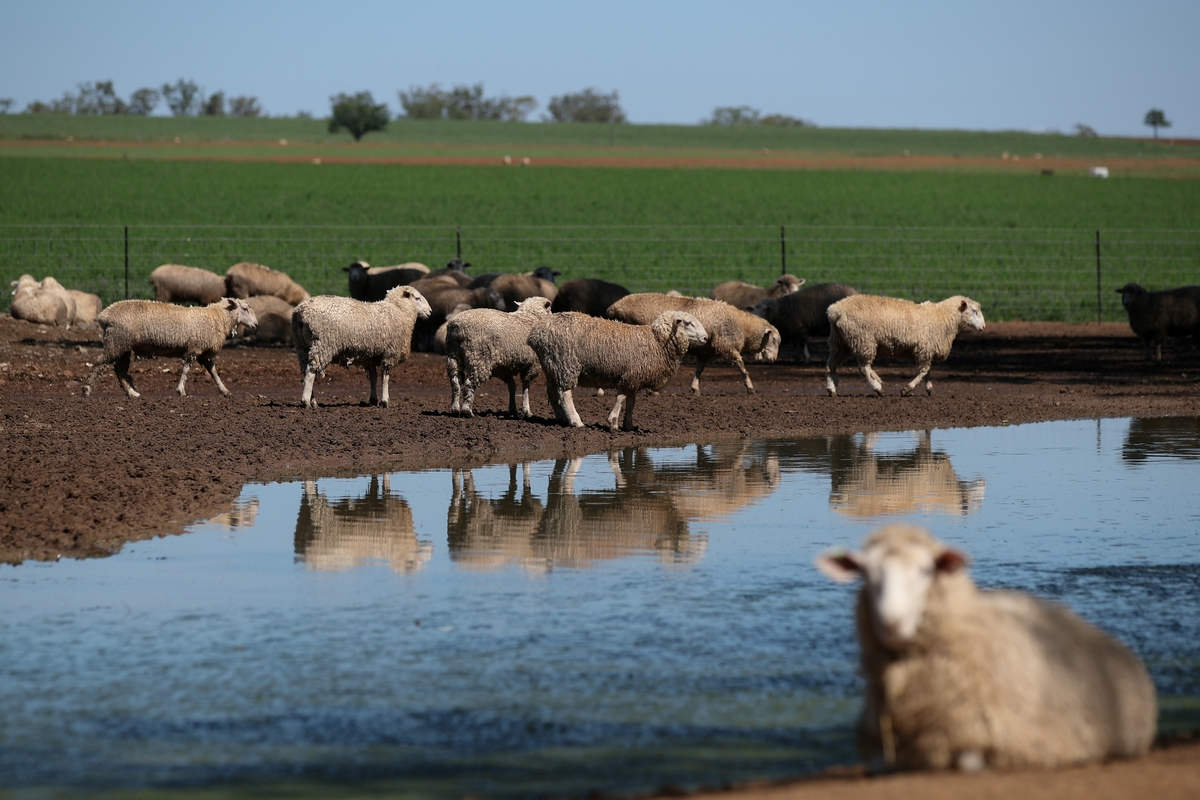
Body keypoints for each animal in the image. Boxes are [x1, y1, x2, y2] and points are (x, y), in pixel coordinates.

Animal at [83, 298, 258, 398]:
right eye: (245, 309)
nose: (256, 325)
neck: (218, 317)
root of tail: (104, 315)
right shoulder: (194, 348)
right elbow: (186, 370)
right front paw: (181, 390)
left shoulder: (202, 352)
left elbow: (213, 371)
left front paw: (224, 390)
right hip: (116, 342)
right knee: (99, 363)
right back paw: (87, 390)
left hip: (123, 346)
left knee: (119, 368)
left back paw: (132, 393)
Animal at [291, 285, 431, 409]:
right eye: (417, 298)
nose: (430, 312)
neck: (400, 311)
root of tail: (301, 312)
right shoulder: (389, 354)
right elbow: (385, 378)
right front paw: (385, 401)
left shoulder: (371, 357)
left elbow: (373, 377)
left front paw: (374, 399)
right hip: (323, 345)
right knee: (311, 372)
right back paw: (306, 402)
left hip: (302, 347)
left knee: (306, 372)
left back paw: (313, 401)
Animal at [527, 310, 708, 431]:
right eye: (688, 322)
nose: (706, 338)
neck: (657, 340)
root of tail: (535, 334)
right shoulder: (629, 376)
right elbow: (621, 398)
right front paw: (613, 422)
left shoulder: (635, 378)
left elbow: (631, 402)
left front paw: (628, 426)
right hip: (565, 364)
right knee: (565, 394)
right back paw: (576, 421)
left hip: (552, 366)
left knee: (552, 393)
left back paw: (561, 419)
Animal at [607, 293, 780, 394]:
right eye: (774, 340)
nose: (773, 360)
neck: (743, 327)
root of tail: (614, 306)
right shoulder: (727, 347)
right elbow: (742, 366)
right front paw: (750, 387)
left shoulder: (705, 352)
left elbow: (699, 370)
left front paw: (695, 388)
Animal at [825, 294, 984, 397]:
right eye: (974, 311)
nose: (983, 327)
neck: (943, 317)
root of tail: (834, 310)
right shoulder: (924, 349)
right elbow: (924, 371)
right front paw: (907, 389)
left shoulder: (927, 350)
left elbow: (928, 370)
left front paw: (929, 389)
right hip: (863, 340)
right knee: (864, 368)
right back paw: (878, 388)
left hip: (840, 342)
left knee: (831, 364)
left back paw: (831, 389)